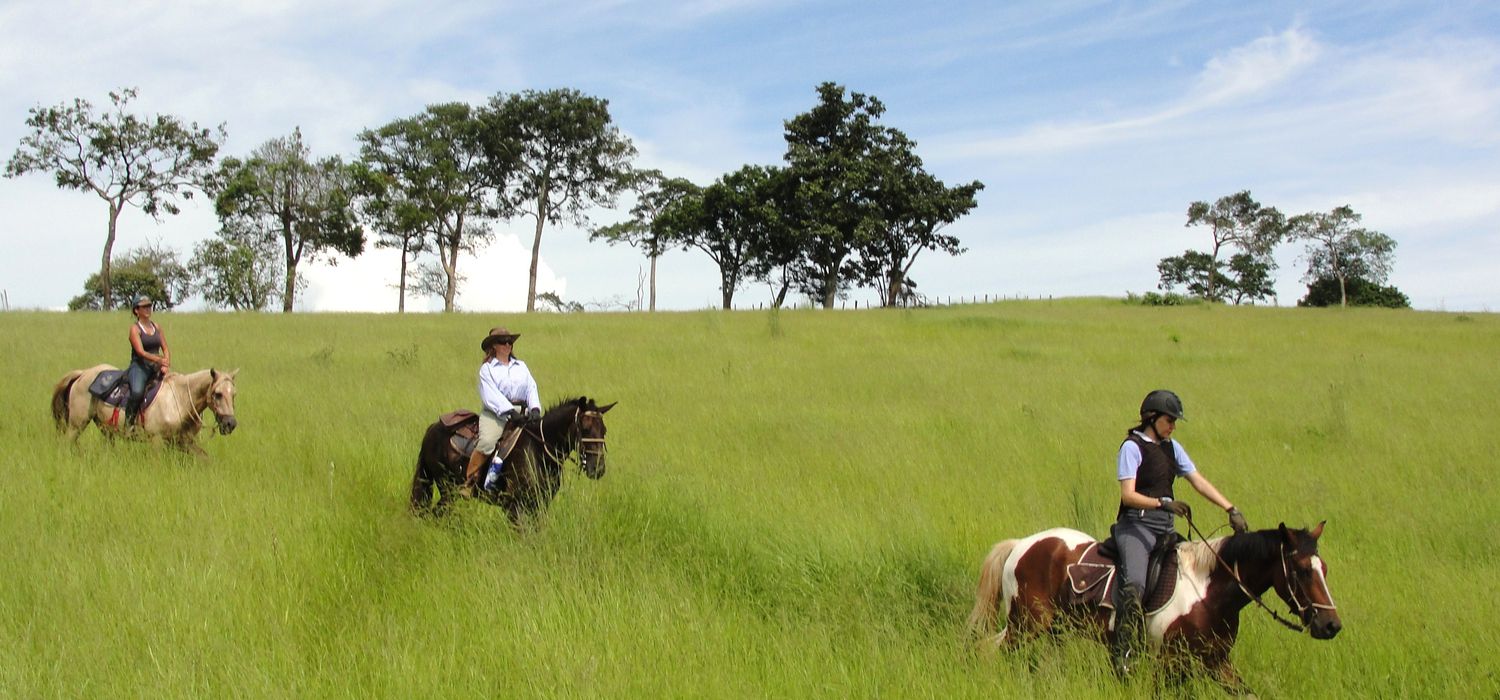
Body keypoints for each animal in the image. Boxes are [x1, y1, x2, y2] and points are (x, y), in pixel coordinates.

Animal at [52, 364, 237, 458]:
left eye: (234, 394)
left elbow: (205, 459)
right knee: (66, 444)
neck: (179, 398)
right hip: (76, 425)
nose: (230, 424)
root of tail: (82, 374)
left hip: (106, 428)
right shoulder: (157, 440)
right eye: (218, 394)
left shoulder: (184, 442)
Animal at [408, 398, 612, 524]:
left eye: (604, 430)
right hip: (447, 490)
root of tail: (432, 428)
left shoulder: (539, 504)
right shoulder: (514, 506)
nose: (598, 469)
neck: (537, 450)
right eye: (585, 428)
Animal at [966, 524, 1344, 692]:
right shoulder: (1169, 663)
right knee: (987, 650)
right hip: (1025, 625)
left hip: (1052, 630)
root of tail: (1022, 545)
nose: (1331, 625)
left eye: (1324, 568)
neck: (1208, 591)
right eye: (1302, 570)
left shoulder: (1216, 662)